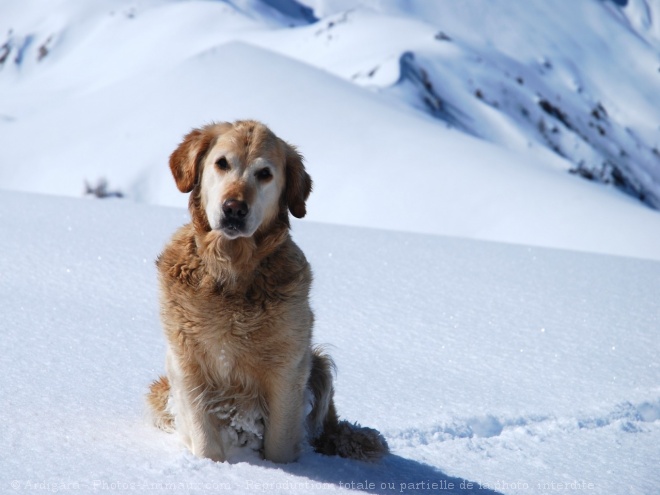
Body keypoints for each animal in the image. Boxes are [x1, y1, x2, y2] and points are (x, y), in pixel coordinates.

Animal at [147, 121, 390, 464]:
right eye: (222, 163)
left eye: (264, 173)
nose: (234, 208)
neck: (232, 271)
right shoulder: (186, 361)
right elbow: (204, 437)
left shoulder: (288, 369)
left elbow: (280, 443)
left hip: (320, 367)